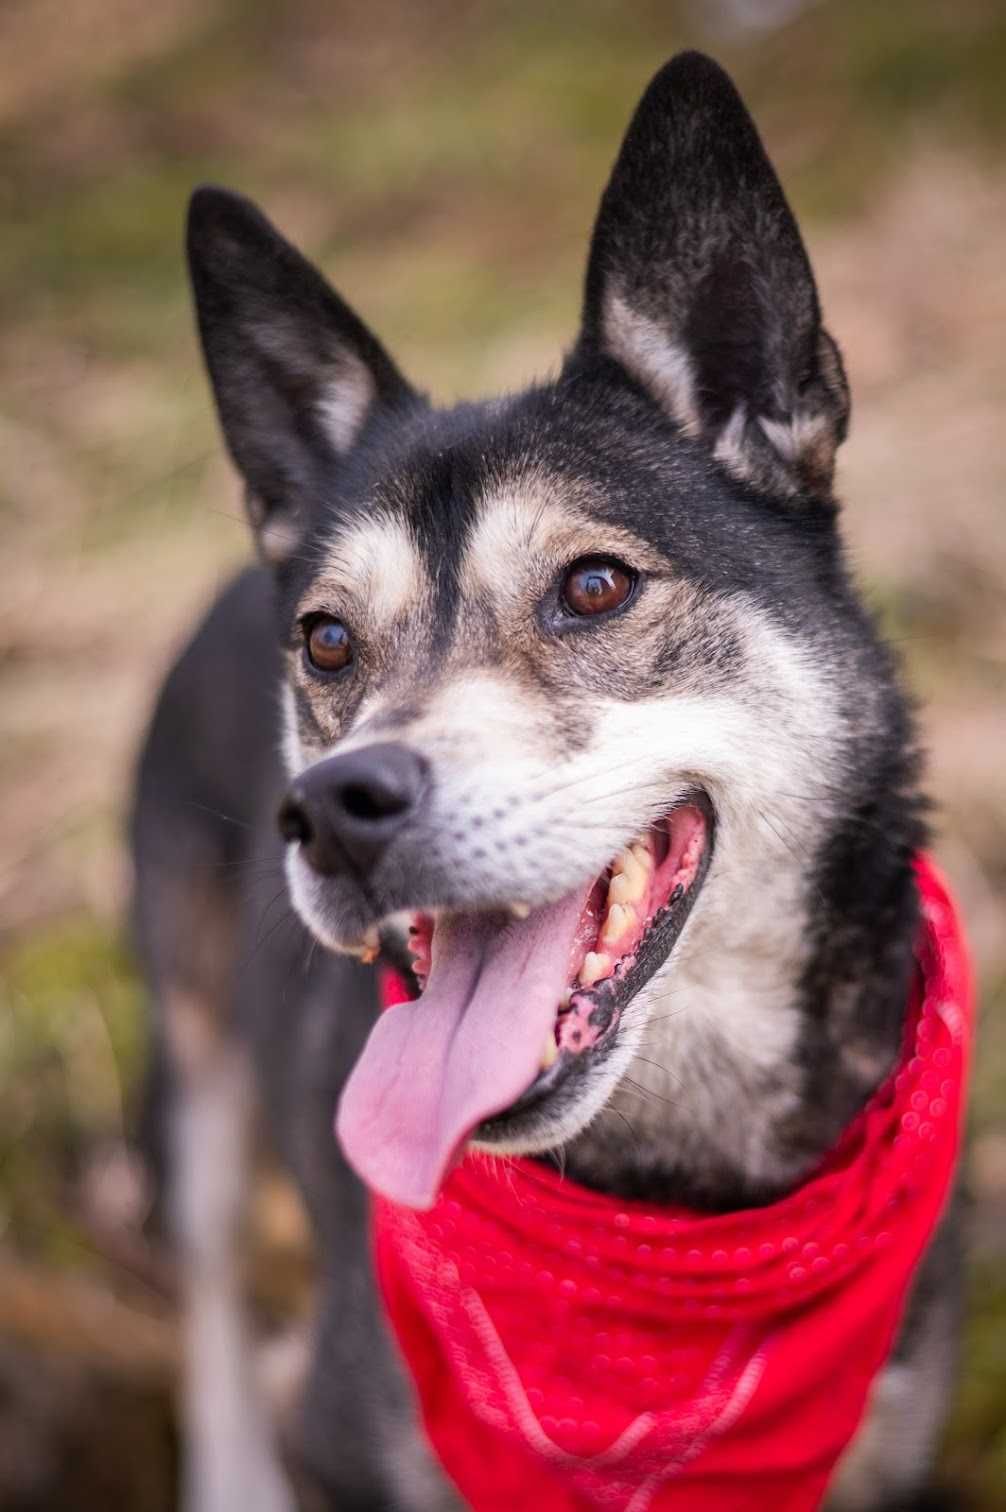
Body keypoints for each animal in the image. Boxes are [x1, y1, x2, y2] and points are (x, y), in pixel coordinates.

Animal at [129, 47, 968, 1512]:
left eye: (592, 587)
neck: (670, 1194)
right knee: (215, 1270)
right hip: (193, 1026)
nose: (333, 813)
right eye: (328, 641)